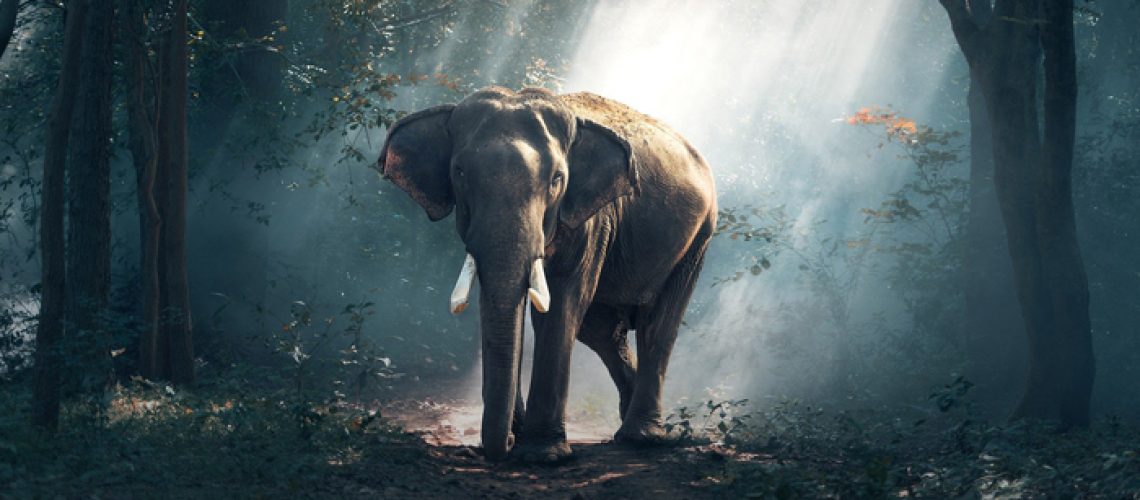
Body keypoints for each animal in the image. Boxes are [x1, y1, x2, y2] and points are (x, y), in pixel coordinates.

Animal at [375, 87, 716, 462]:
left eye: (557, 180)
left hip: (698, 238)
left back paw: (642, 437)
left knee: (657, 323)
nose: (504, 444)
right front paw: (520, 437)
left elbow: (562, 304)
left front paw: (542, 455)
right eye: (459, 173)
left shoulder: (590, 220)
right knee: (602, 331)